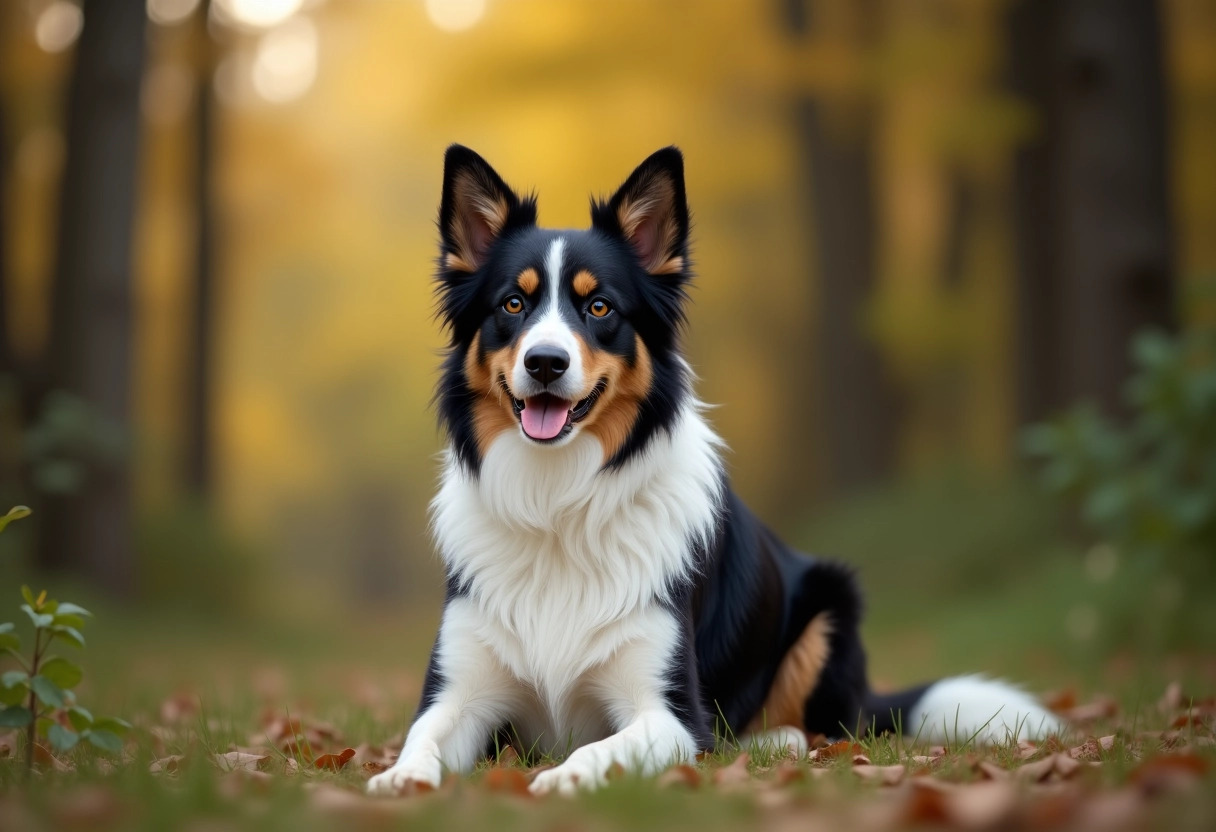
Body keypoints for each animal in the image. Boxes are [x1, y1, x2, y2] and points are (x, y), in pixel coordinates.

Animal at [364, 145, 1060, 797]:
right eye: (512, 303)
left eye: (599, 308)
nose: (544, 362)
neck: (557, 501)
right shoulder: (459, 692)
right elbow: (423, 737)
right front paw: (401, 779)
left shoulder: (671, 713)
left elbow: (602, 747)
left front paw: (564, 778)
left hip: (829, 605)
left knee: (822, 728)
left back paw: (774, 740)